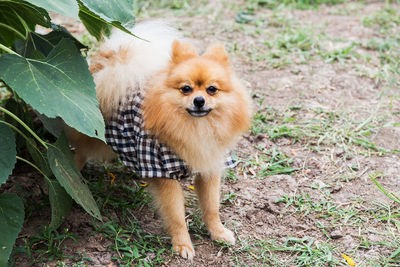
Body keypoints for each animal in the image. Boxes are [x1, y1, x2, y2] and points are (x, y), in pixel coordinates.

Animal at [67, 21, 252, 260]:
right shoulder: (164, 172)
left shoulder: (209, 168)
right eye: (186, 89)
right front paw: (182, 245)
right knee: (79, 152)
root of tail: (104, 68)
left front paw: (218, 232)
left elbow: (212, 207)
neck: (196, 128)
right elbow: (176, 215)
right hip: (93, 138)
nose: (199, 100)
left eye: (212, 89)